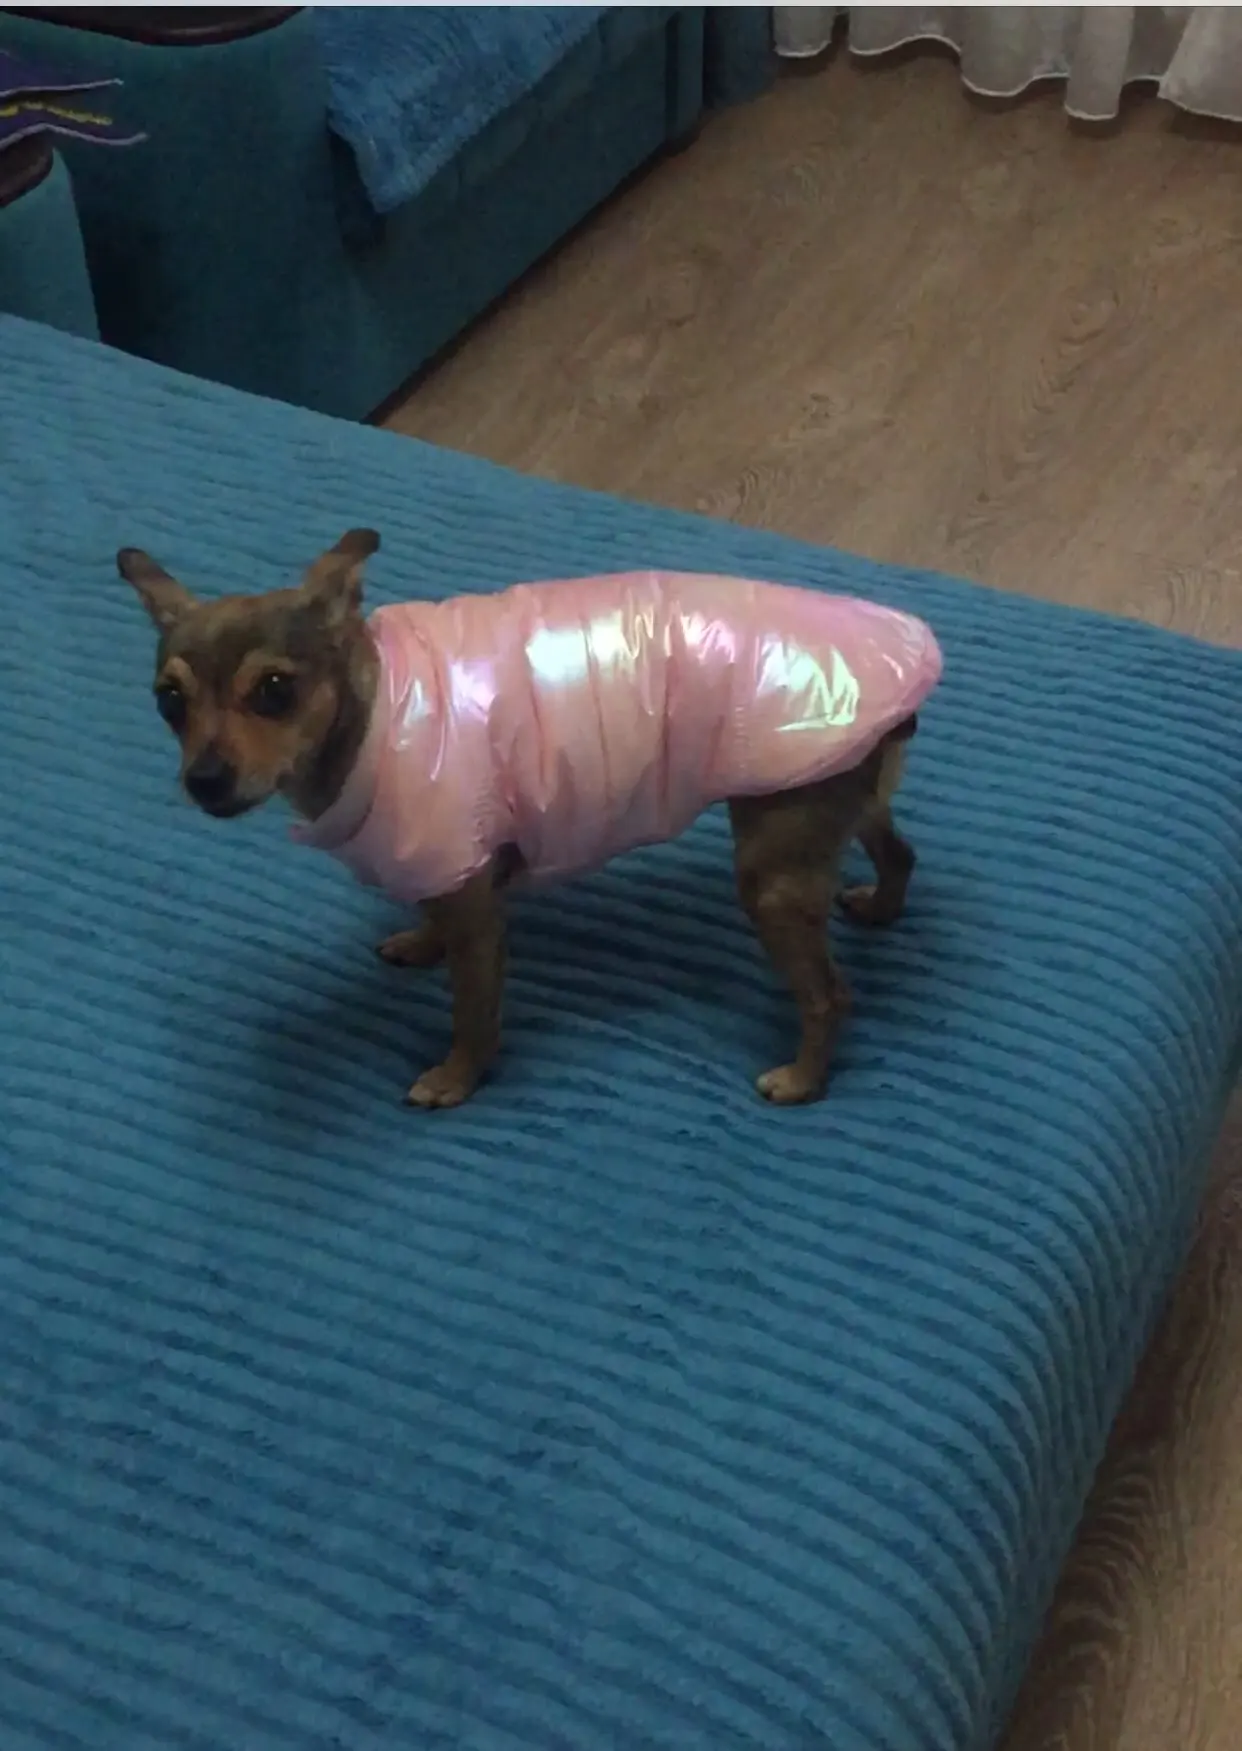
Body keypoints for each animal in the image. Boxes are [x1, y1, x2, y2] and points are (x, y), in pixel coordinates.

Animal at [118, 531, 941, 1110]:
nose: (205, 780)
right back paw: (881, 907)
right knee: (899, 854)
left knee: (830, 994)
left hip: (773, 870)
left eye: (274, 690)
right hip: (840, 806)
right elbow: (431, 917)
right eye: (168, 701)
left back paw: (801, 1079)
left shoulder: (477, 911)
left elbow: (473, 1012)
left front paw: (455, 1078)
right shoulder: (445, 865)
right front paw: (419, 943)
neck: (377, 713)